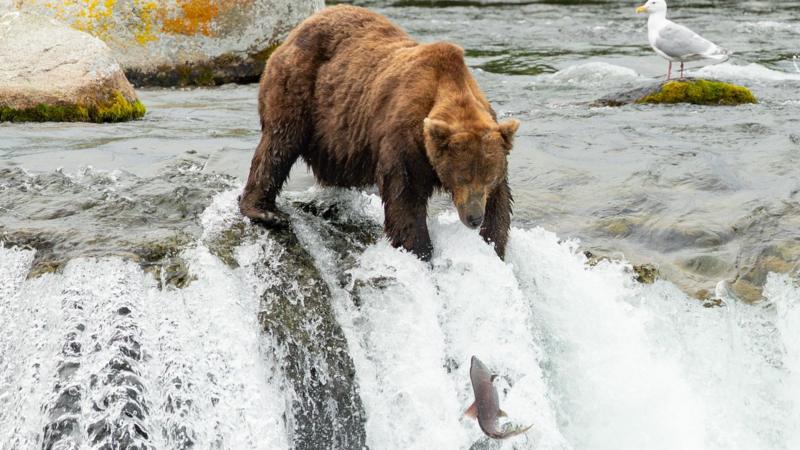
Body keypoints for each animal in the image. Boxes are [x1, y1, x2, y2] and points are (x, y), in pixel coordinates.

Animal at [239, 5, 520, 261]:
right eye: (461, 177)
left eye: (487, 178)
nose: (474, 218)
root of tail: (299, 27)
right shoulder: (405, 136)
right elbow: (405, 194)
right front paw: (419, 250)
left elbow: (501, 201)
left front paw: (493, 244)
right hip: (299, 84)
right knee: (280, 142)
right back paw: (264, 211)